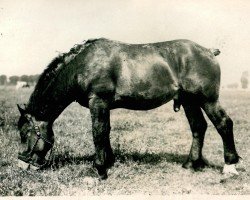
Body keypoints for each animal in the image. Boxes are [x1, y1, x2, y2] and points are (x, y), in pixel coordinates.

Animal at [16, 38, 240, 179]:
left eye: (25, 134)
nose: (22, 164)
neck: (82, 65)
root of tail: (208, 51)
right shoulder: (103, 105)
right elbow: (105, 132)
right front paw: (108, 162)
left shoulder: (98, 101)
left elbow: (98, 132)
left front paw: (99, 170)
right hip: (189, 101)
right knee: (198, 127)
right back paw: (190, 164)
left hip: (207, 99)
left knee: (223, 124)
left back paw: (230, 166)